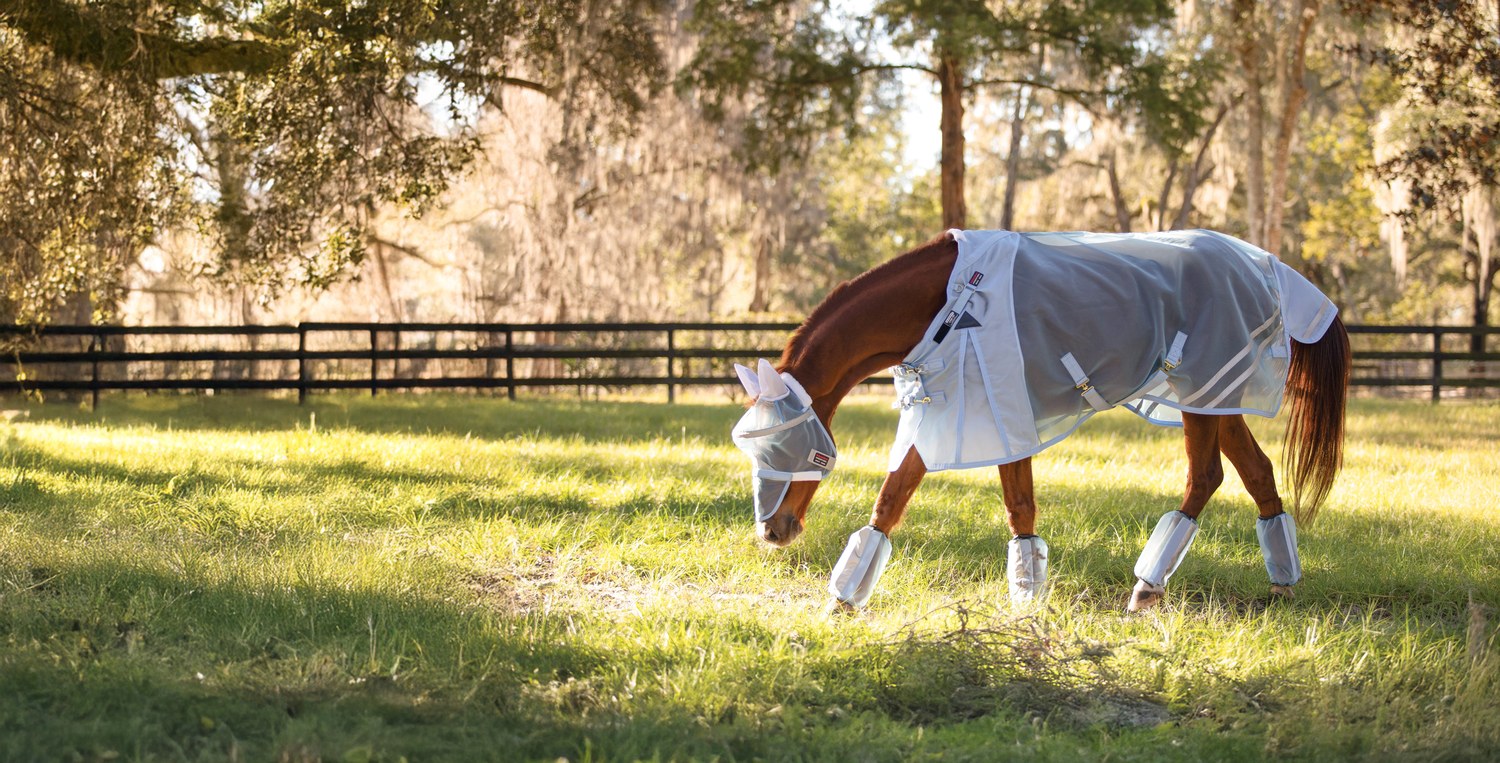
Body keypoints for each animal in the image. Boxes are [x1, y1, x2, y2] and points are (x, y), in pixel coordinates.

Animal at [731, 229, 1351, 612]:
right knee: (1257, 473)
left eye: (784, 449)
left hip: (1202, 397)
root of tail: (1263, 264)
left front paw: (840, 601)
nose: (772, 532)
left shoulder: (986, 414)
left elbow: (904, 499)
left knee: (1207, 477)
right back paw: (1281, 584)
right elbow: (991, 504)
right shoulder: (964, 419)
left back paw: (1147, 589)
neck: (949, 303)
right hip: (1216, 400)